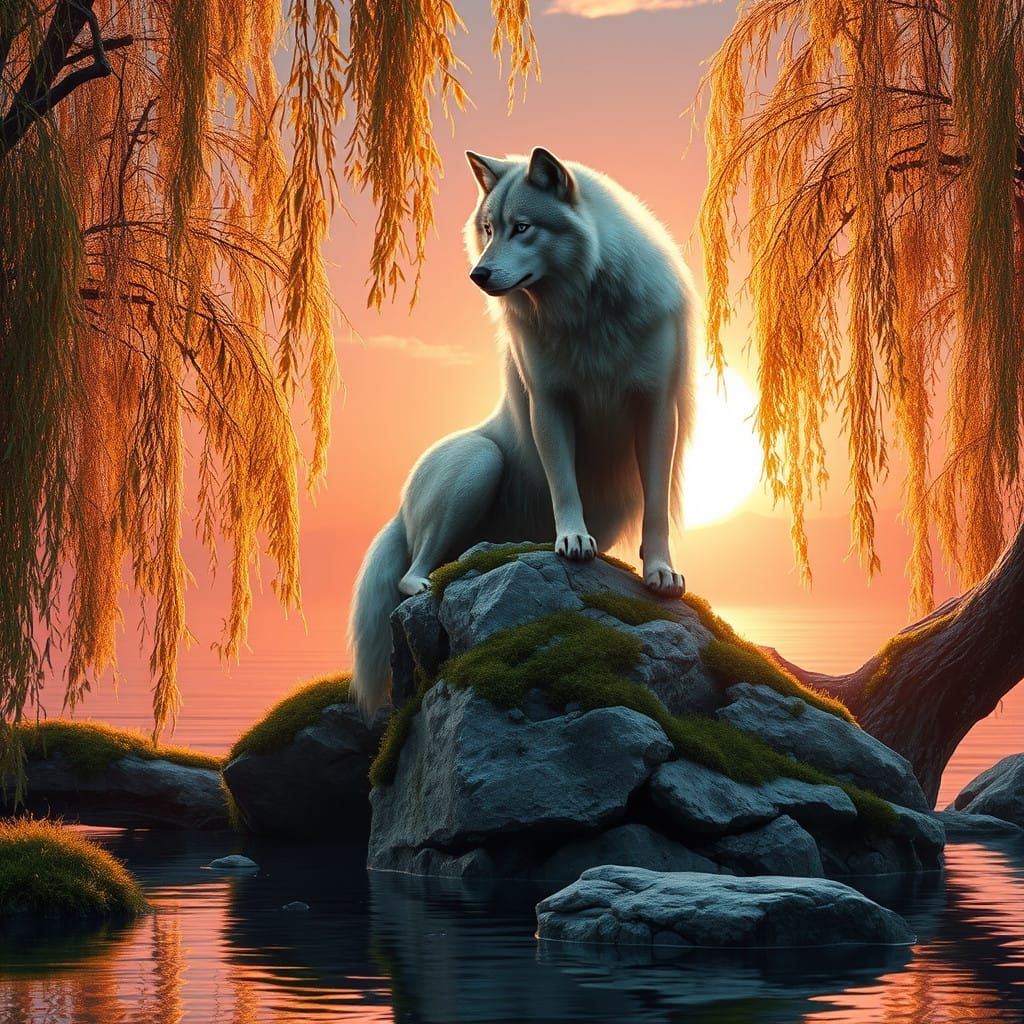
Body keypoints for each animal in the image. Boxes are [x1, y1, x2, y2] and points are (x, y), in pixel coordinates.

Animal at [348, 146, 698, 712]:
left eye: (523, 228)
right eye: (489, 229)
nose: (478, 274)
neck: (585, 310)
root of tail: (398, 511)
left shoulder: (656, 409)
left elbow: (657, 506)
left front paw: (660, 572)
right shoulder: (549, 404)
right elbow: (565, 484)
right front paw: (572, 541)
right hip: (478, 462)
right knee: (410, 574)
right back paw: (425, 584)